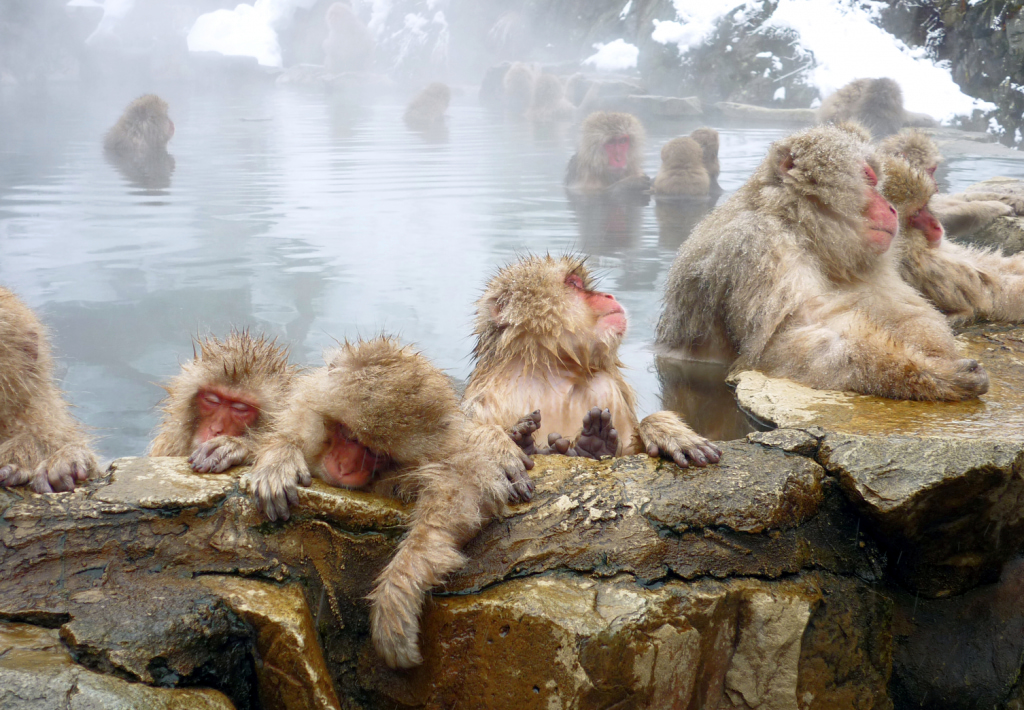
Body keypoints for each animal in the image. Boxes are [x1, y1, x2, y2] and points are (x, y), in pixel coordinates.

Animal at [246, 336, 533, 669]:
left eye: (375, 454)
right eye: (349, 435)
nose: (345, 467)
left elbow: (462, 489)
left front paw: (397, 591)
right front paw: (280, 458)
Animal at [462, 255, 722, 469]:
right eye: (573, 284)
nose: (608, 295)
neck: (553, 373)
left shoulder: (608, 388)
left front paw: (663, 428)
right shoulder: (484, 400)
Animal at [655, 123, 989, 402]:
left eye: (876, 181)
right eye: (867, 180)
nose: (892, 209)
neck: (797, 225)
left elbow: (905, 312)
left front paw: (936, 351)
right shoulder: (757, 245)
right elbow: (790, 343)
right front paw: (937, 376)